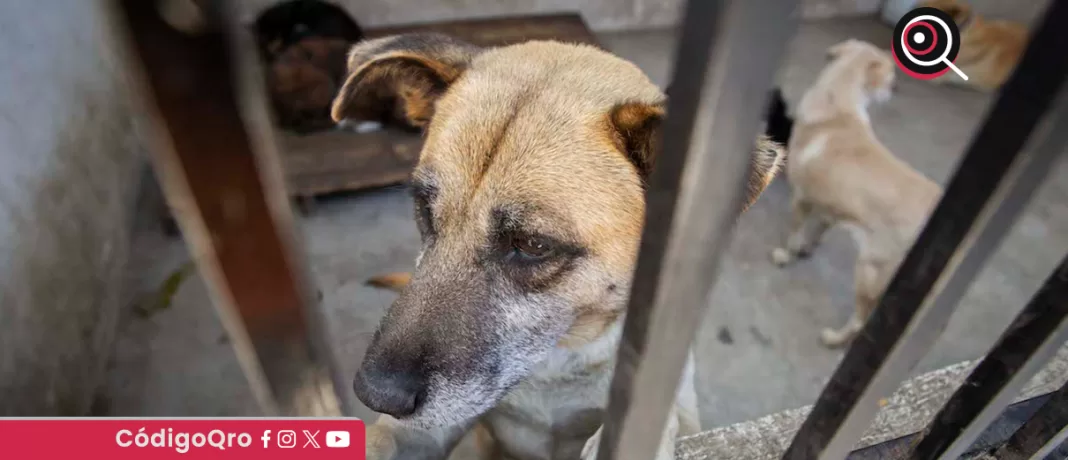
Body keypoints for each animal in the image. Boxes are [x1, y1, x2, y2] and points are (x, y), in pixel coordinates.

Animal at [768, 39, 944, 350]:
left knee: (861, 321)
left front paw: (785, 255)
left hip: (869, 271)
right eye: (890, 76)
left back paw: (835, 339)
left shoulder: (802, 197)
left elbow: (795, 233)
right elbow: (820, 229)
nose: (896, 87)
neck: (837, 106)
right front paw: (807, 249)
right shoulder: (831, 205)